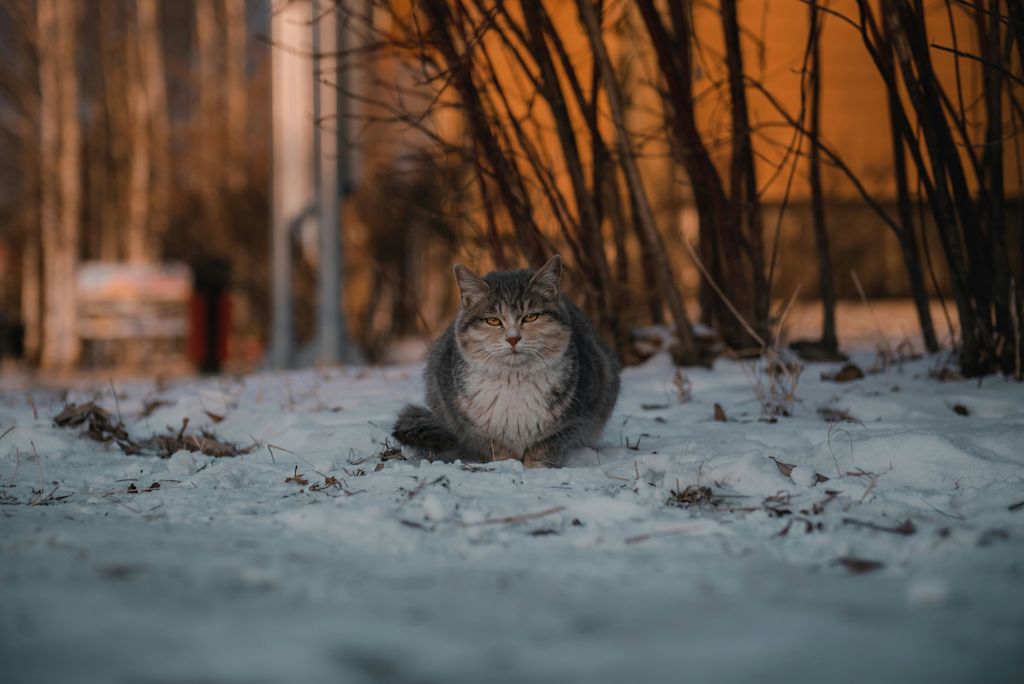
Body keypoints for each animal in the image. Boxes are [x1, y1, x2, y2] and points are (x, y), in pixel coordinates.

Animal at [389, 253, 614, 466]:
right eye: (493, 320)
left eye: (530, 317)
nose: (513, 338)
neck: (514, 380)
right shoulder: (462, 415)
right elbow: (493, 443)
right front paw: (507, 465)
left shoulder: (578, 413)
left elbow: (548, 443)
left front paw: (536, 466)